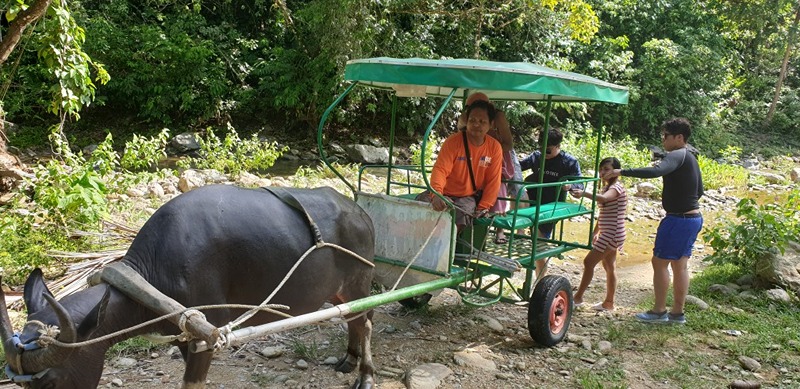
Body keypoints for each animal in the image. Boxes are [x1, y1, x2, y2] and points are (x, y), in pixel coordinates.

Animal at [0, 185, 378, 388]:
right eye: (19, 384)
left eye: (50, 381)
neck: (154, 275)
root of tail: (360, 211)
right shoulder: (184, 335)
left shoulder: (205, 338)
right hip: (341, 291)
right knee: (352, 318)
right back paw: (348, 359)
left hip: (360, 282)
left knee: (365, 322)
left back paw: (366, 374)